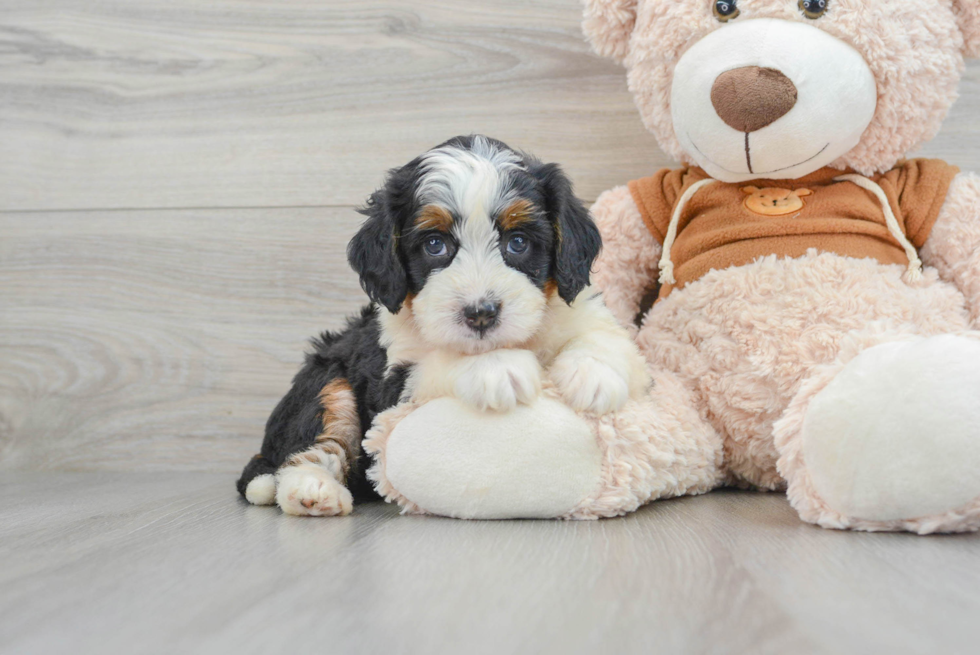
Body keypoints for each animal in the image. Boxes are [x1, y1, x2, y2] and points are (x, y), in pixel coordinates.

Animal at [235, 136, 652, 516]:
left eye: (518, 242)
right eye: (435, 245)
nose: (481, 313)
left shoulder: (582, 311)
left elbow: (606, 337)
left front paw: (593, 375)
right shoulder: (392, 380)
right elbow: (442, 361)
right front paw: (497, 368)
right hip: (326, 381)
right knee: (311, 446)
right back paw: (313, 491)